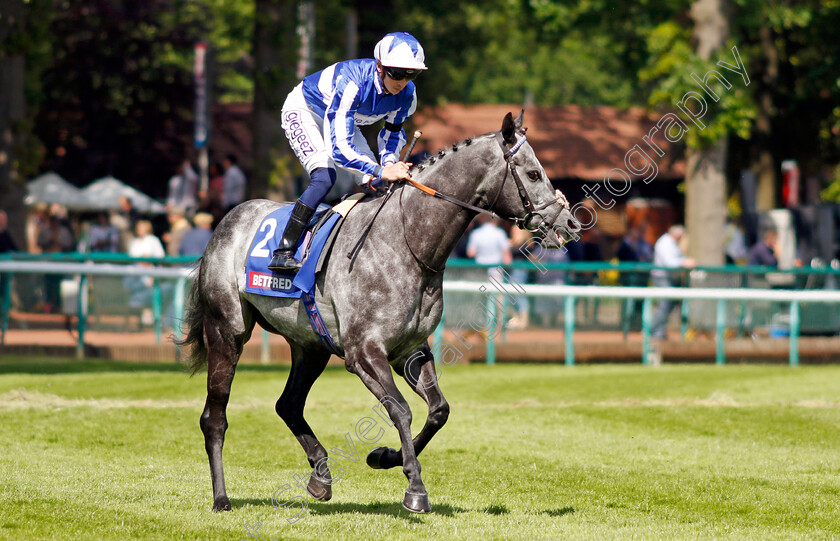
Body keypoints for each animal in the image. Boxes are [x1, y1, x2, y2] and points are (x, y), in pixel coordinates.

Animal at [180, 108, 580, 510]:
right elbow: (400, 409)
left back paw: (320, 476)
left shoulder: (410, 350)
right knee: (214, 418)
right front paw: (415, 487)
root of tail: (226, 222)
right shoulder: (363, 352)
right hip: (226, 331)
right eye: (533, 173)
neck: (407, 242)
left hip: (310, 345)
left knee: (288, 405)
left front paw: (385, 457)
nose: (570, 224)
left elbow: (439, 410)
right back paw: (221, 498)